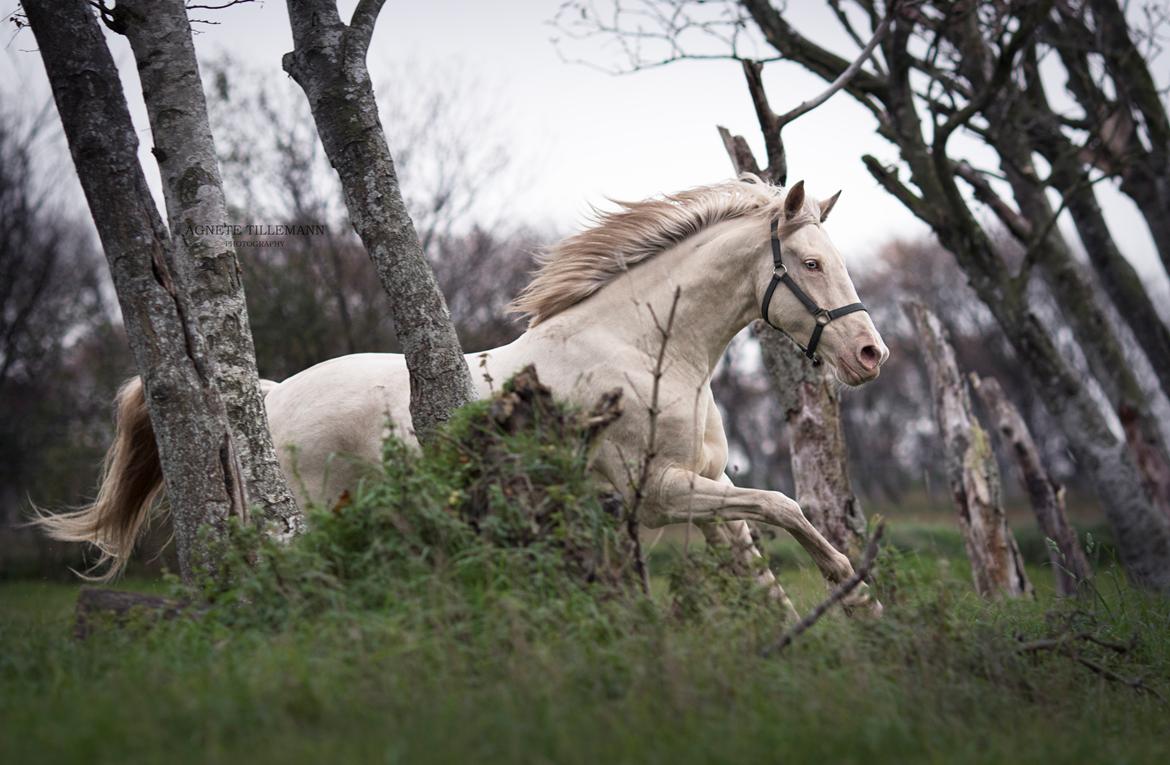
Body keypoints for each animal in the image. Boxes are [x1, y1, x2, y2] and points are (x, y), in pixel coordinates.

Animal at [41, 177, 889, 617]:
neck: (649, 348)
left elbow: (766, 568)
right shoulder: (657, 492)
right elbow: (786, 504)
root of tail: (272, 397)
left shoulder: (707, 489)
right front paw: (859, 597)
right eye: (811, 263)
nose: (870, 353)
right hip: (310, 516)